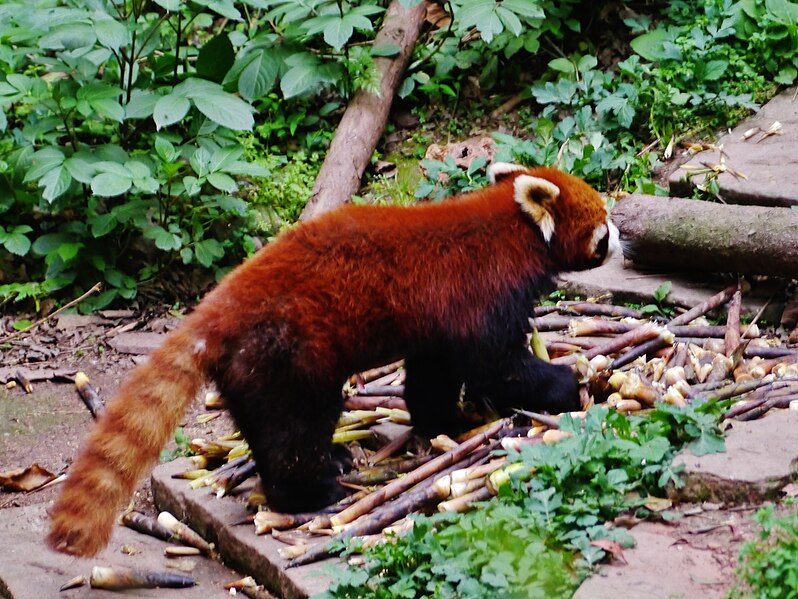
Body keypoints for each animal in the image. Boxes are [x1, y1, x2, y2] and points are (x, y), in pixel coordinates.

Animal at [47, 164, 620, 556]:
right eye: (605, 221)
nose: (619, 238)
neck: (510, 228)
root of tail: (219, 306)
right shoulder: (483, 292)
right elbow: (496, 364)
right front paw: (565, 385)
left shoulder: (435, 323)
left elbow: (432, 378)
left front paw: (446, 422)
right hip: (290, 351)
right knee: (296, 424)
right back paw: (312, 491)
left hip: (250, 365)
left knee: (265, 424)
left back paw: (330, 461)